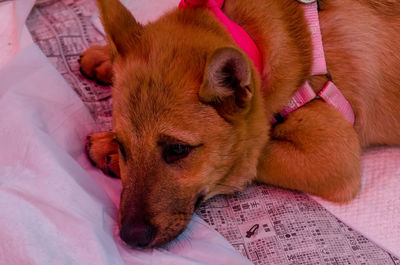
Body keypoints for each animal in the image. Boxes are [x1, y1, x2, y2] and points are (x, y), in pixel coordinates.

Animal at [79, 0, 400, 248]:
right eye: (123, 144)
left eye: (178, 150)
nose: (130, 238)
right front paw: (105, 58)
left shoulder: (335, 156)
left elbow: (252, 153)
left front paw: (105, 149)